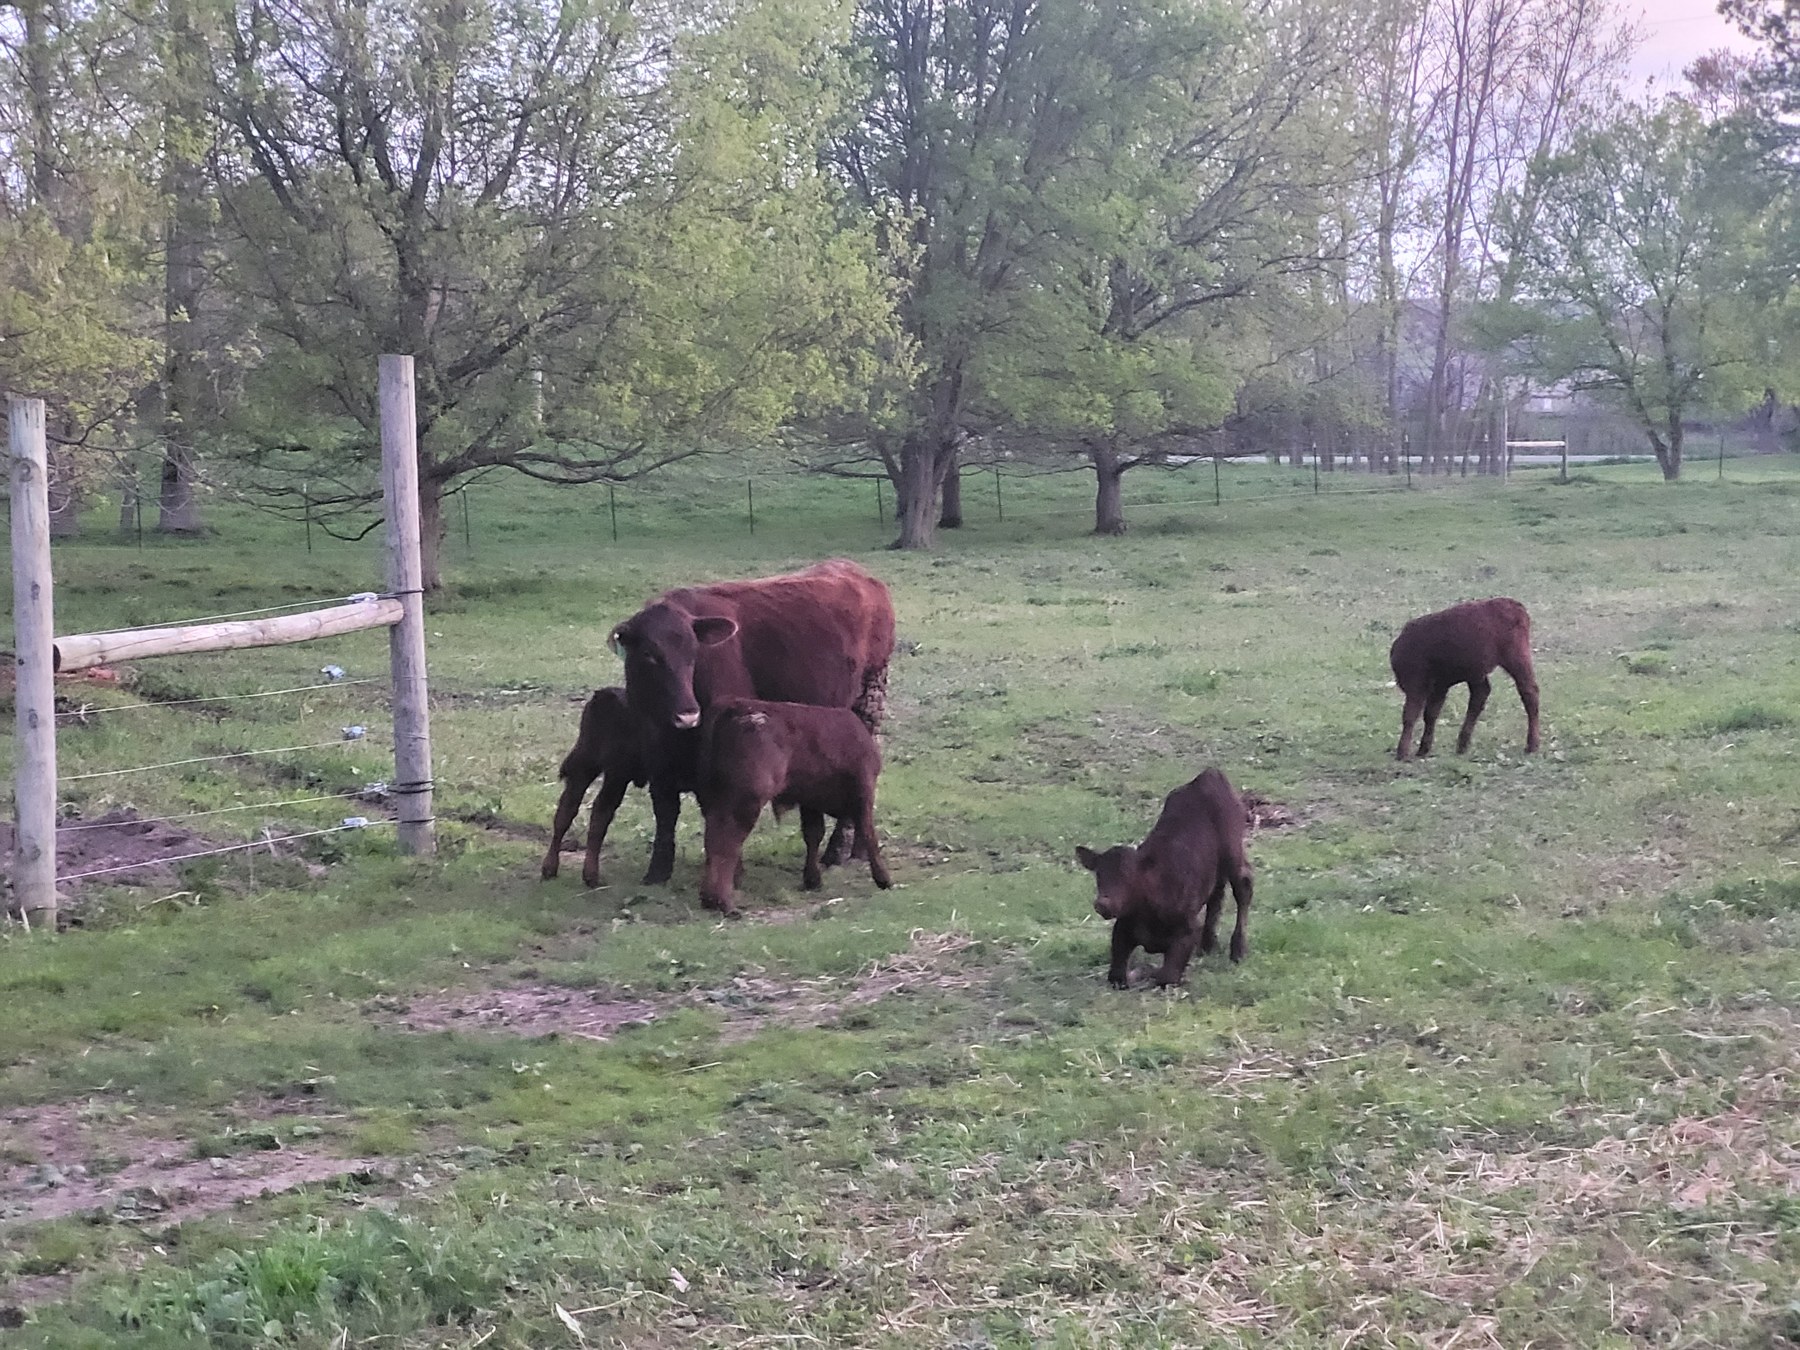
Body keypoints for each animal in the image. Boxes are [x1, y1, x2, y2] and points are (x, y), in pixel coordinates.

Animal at [540, 688, 647, 888]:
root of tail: (605, 695)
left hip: (585, 767)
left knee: (567, 808)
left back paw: (550, 868)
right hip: (615, 776)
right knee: (600, 811)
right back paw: (591, 876)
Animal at [608, 560, 895, 884]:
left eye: (695, 653)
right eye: (649, 655)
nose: (688, 714)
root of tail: (854, 570)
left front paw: (730, 872)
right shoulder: (656, 753)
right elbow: (665, 811)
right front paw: (658, 871)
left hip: (869, 699)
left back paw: (840, 850)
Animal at [695, 698, 892, 917]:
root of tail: (734, 705)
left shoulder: (810, 801)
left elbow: (813, 834)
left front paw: (812, 879)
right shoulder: (864, 790)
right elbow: (868, 833)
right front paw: (884, 879)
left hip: (717, 800)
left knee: (713, 839)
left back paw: (710, 899)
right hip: (744, 802)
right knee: (726, 843)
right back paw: (724, 903)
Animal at [1075, 768, 1253, 990]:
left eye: (1129, 876)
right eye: (1099, 875)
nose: (1103, 903)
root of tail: (1209, 774)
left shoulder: (1188, 929)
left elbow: (1165, 976)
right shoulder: (1121, 928)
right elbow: (1116, 976)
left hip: (1232, 850)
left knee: (1243, 886)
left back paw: (1238, 950)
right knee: (1216, 894)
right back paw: (1208, 945)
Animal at [1390, 597, 1540, 761]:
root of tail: (1514, 605)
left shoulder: (1417, 685)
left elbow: (1410, 715)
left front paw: (1402, 752)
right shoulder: (1440, 686)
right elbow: (1430, 714)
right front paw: (1423, 748)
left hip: (1516, 658)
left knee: (1529, 692)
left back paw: (1532, 745)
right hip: (1476, 672)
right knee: (1480, 695)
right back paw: (1462, 744)